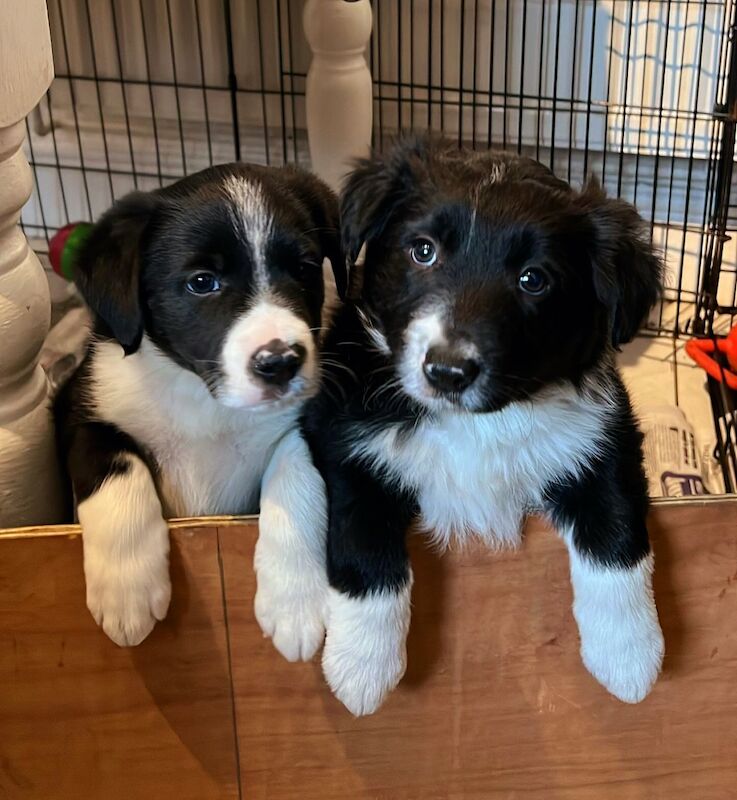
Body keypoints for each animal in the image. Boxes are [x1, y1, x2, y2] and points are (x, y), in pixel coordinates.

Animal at [56, 162, 344, 648]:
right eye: (202, 282)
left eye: (305, 268)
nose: (281, 362)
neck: (205, 402)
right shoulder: (84, 414)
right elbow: (116, 466)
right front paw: (127, 591)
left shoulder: (307, 423)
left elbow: (299, 474)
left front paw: (294, 601)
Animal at [258, 136, 668, 712]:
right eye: (423, 250)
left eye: (533, 279)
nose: (448, 371)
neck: (476, 422)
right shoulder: (347, 445)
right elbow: (365, 547)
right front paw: (361, 666)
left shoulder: (604, 435)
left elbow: (617, 535)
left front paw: (629, 655)